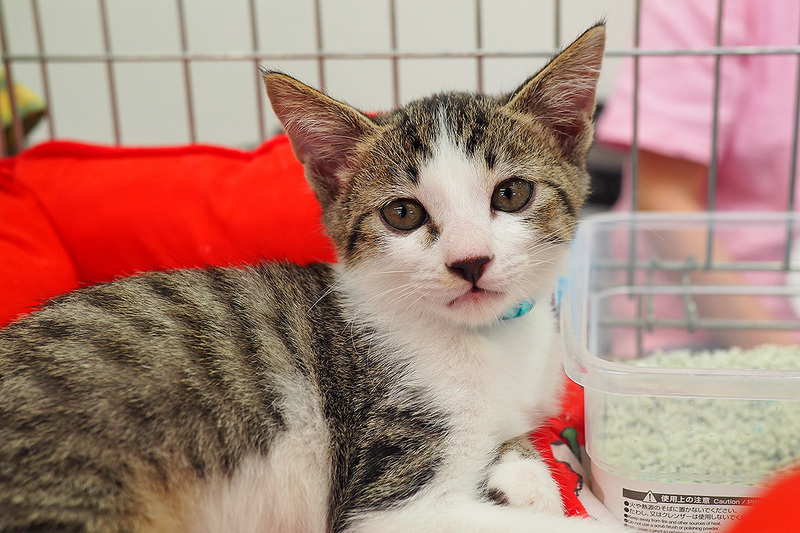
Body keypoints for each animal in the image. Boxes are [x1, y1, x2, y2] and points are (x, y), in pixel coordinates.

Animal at [0, 23, 624, 533]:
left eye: (511, 193)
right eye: (403, 213)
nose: (469, 262)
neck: (490, 340)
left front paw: (526, 474)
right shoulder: (387, 495)